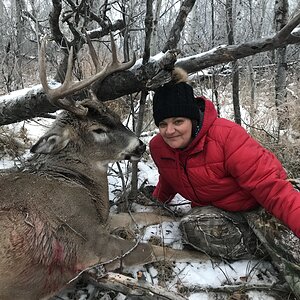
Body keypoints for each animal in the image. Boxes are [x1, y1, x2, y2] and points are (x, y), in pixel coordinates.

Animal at [0, 33, 206, 300]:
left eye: (115, 117)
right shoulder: (90, 241)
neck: (76, 183)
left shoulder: (102, 221)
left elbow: (140, 215)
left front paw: (173, 215)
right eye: (97, 130)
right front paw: (208, 255)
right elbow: (152, 249)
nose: (140, 146)